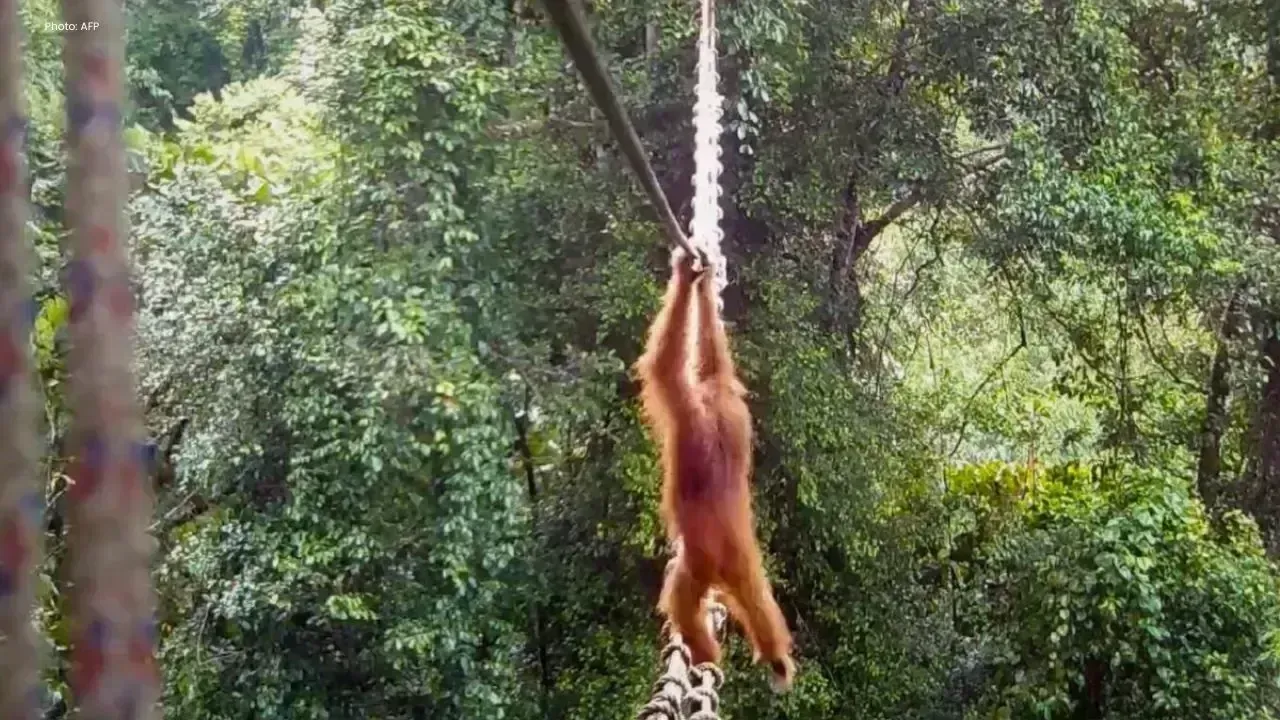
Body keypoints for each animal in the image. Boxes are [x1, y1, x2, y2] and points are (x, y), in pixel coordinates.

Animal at [634, 247, 796, 692]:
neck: (713, 409)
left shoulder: (687, 409)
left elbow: (665, 366)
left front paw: (685, 274)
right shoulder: (730, 399)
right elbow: (715, 359)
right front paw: (703, 284)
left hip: (699, 563)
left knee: (680, 597)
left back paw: (703, 654)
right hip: (742, 560)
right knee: (758, 601)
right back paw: (777, 660)